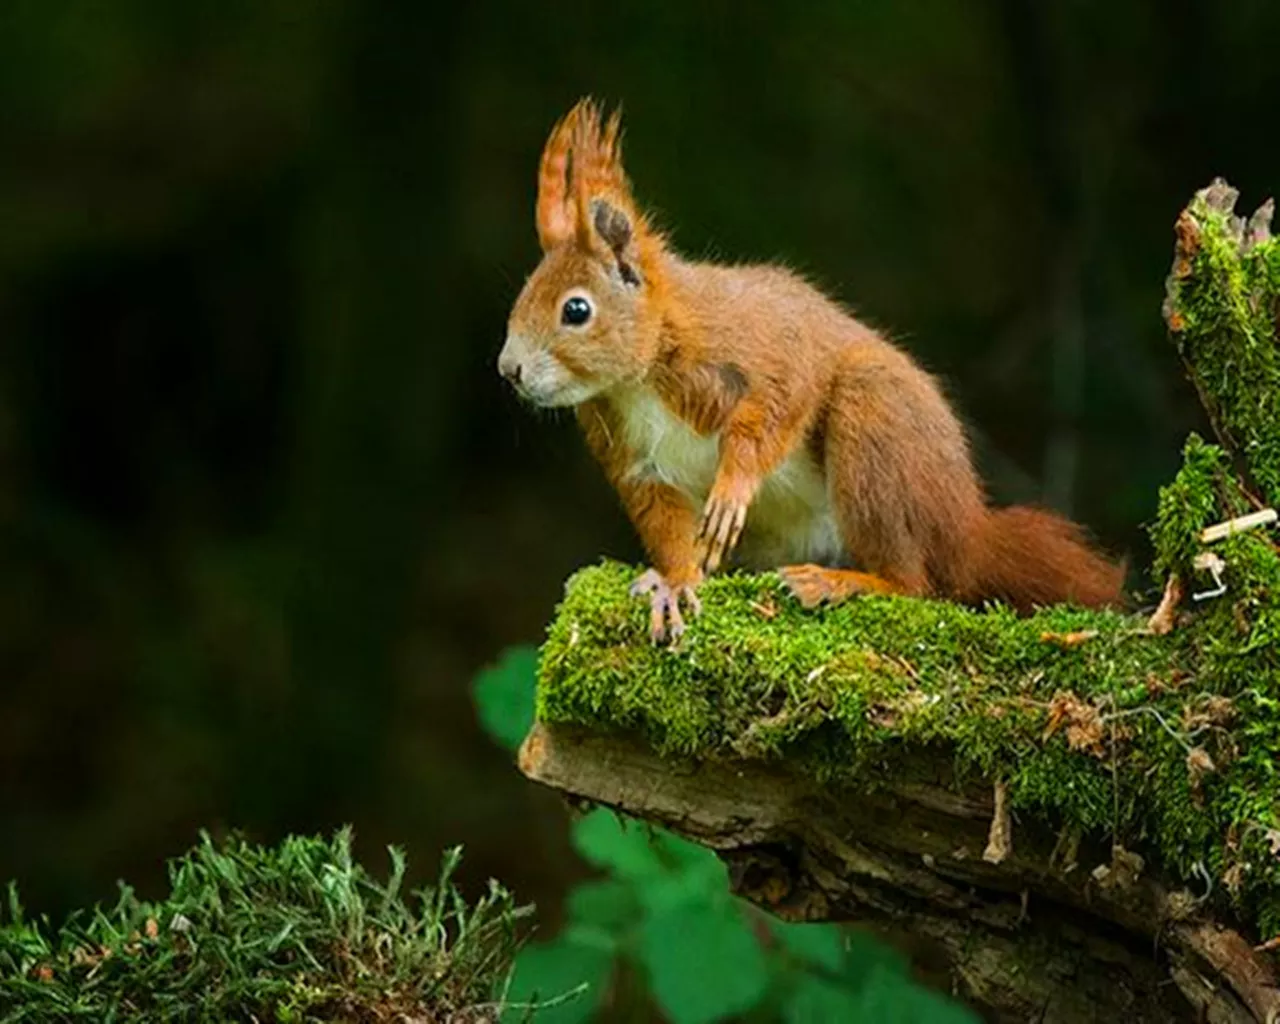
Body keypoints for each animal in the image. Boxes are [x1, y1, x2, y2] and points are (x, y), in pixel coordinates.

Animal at [494, 97, 1126, 640]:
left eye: (576, 310)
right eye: (524, 293)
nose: (508, 370)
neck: (638, 381)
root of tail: (967, 529)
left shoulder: (755, 342)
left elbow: (782, 398)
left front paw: (734, 482)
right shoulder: (633, 459)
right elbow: (667, 527)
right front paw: (673, 584)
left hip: (876, 428)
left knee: (917, 584)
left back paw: (842, 582)